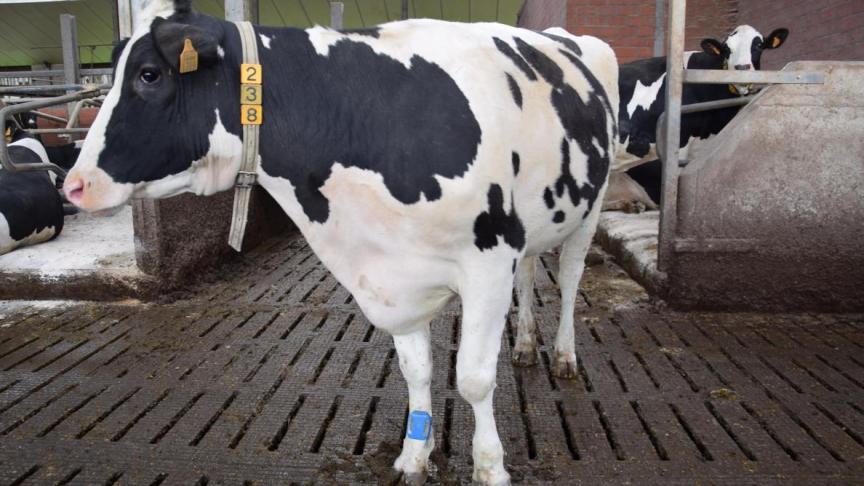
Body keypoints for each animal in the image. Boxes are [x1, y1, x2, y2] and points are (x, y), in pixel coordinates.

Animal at [62, 1, 618, 483]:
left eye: (148, 75)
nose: (73, 185)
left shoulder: (489, 258)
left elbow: (473, 379)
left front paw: (490, 468)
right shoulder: (392, 275)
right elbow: (417, 371)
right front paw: (414, 457)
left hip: (590, 207)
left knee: (570, 278)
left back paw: (563, 356)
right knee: (531, 272)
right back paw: (523, 345)